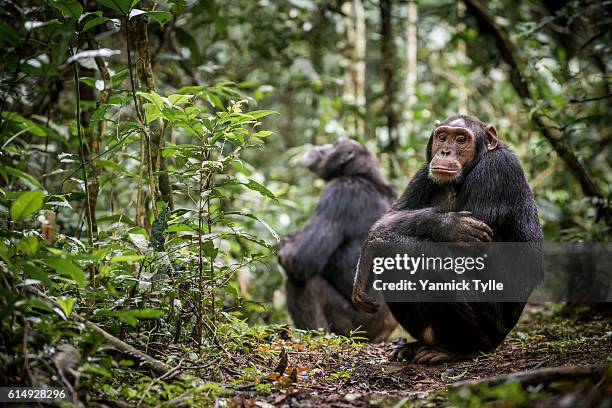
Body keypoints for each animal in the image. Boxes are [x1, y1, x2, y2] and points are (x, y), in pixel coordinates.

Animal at [278, 139, 396, 342]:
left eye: (335, 144)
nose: (322, 146)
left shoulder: (339, 191)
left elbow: (299, 258)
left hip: (357, 328)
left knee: (304, 281)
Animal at [352, 115, 544, 364]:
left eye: (461, 139)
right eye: (442, 137)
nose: (445, 151)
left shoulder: (497, 170)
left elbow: (467, 257)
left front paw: (376, 247)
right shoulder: (424, 172)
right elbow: (391, 215)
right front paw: (449, 225)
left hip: (492, 330)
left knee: (435, 269)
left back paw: (459, 348)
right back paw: (413, 346)